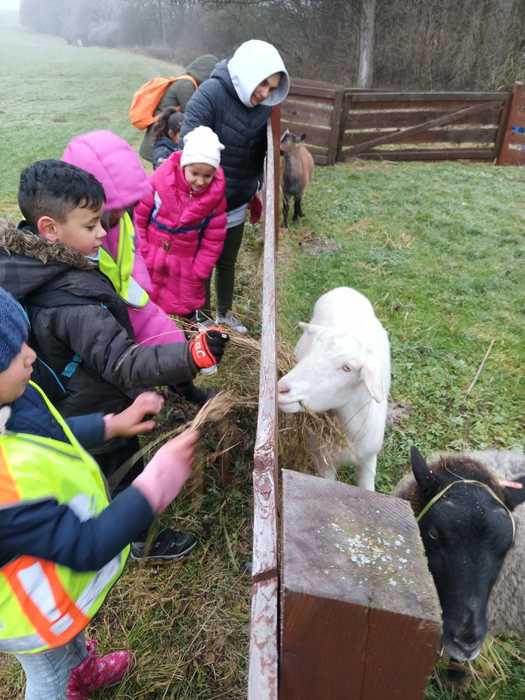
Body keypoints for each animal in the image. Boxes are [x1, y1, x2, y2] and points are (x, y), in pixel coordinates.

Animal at [277, 287, 391, 491]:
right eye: (311, 351)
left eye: (347, 368)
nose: (282, 388)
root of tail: (345, 288)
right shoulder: (324, 462)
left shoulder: (369, 459)